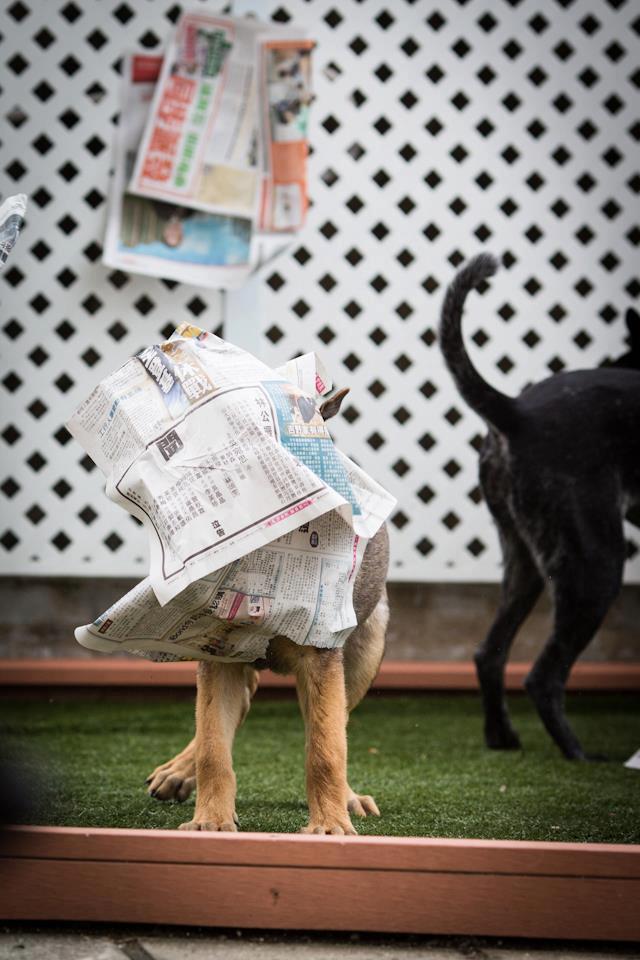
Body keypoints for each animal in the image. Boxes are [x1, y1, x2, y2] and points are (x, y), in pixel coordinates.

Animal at [146, 388, 390, 832]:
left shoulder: (322, 656)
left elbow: (326, 748)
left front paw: (329, 825)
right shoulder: (217, 654)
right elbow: (213, 747)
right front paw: (210, 821)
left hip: (366, 649)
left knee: (335, 722)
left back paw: (348, 800)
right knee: (233, 705)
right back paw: (178, 772)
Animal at [440, 253, 640, 756]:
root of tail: (516, 412)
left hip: (527, 562)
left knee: (489, 653)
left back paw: (503, 738)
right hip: (595, 565)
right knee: (542, 677)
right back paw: (579, 756)